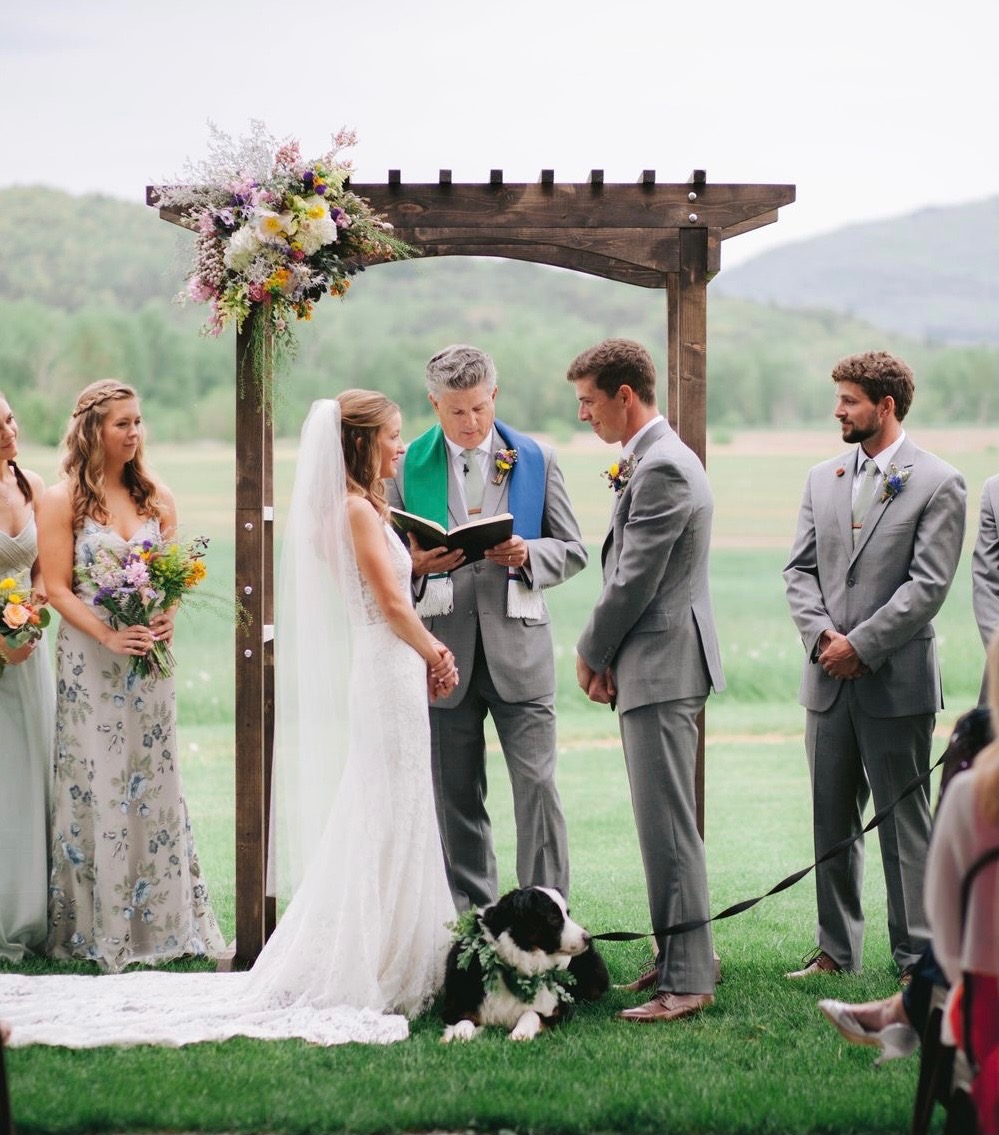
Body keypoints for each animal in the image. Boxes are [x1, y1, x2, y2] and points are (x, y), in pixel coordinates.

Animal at [442, 889, 608, 1039]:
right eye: (554, 917)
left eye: (567, 914)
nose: (588, 938)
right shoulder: (457, 1006)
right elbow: (464, 1020)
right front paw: (459, 1034)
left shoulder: (560, 1009)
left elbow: (532, 1013)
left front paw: (520, 1033)